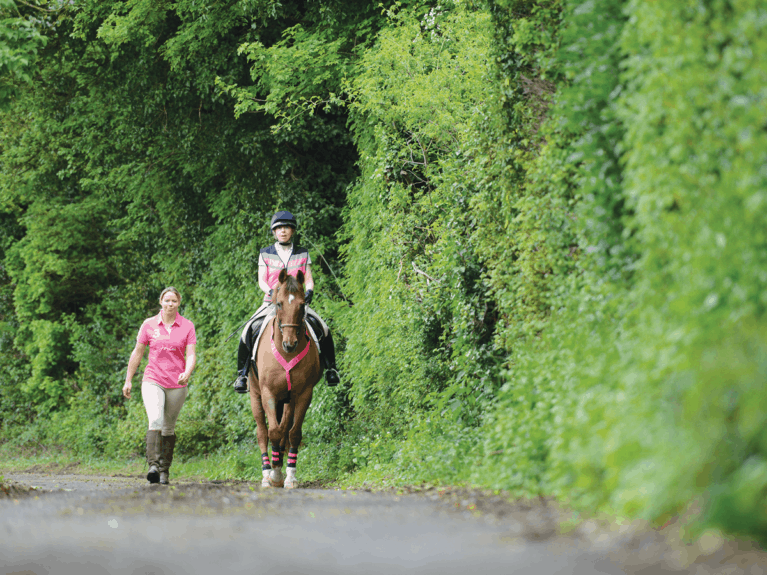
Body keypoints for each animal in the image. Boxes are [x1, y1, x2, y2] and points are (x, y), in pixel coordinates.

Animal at [246, 268, 318, 488]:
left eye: (302, 304)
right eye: (279, 303)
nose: (290, 344)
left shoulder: (304, 394)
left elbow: (293, 433)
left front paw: (290, 476)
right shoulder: (268, 393)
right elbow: (274, 432)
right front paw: (276, 475)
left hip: (288, 399)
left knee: (285, 427)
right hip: (255, 395)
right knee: (263, 432)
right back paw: (266, 473)